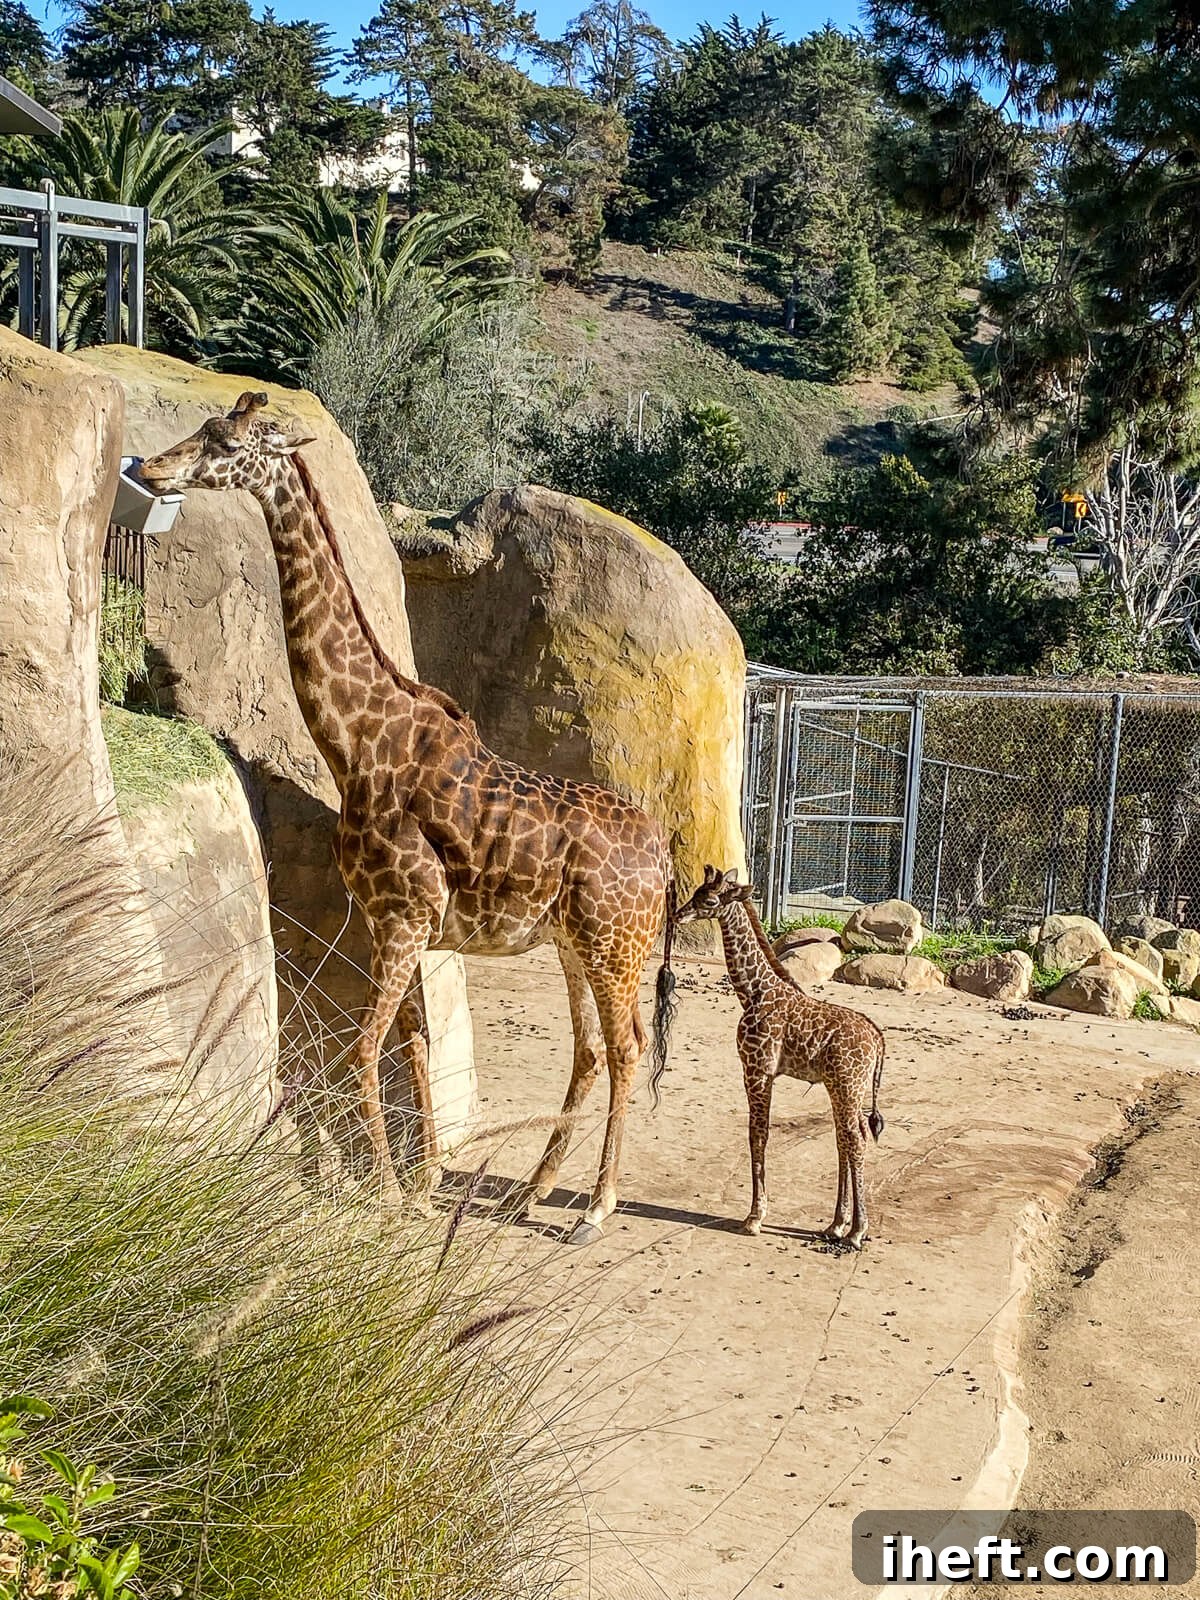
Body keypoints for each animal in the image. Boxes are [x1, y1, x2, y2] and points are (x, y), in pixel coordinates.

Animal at [137, 391, 677, 1244]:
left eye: (223, 441)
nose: (152, 468)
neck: (357, 741)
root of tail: (663, 851)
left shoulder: (400, 916)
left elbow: (362, 1050)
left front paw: (388, 1193)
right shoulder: (405, 922)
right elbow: (414, 1048)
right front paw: (422, 1189)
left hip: (614, 942)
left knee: (625, 1049)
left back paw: (595, 1207)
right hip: (573, 943)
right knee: (591, 1051)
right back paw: (529, 1193)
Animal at [674, 867, 885, 1250]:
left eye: (708, 901)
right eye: (695, 892)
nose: (678, 915)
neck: (753, 992)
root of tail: (878, 1039)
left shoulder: (757, 1070)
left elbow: (758, 1134)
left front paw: (754, 1217)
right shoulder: (762, 1073)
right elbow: (760, 1134)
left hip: (848, 1085)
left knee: (856, 1139)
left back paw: (857, 1231)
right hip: (844, 1087)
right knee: (845, 1139)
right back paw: (836, 1225)